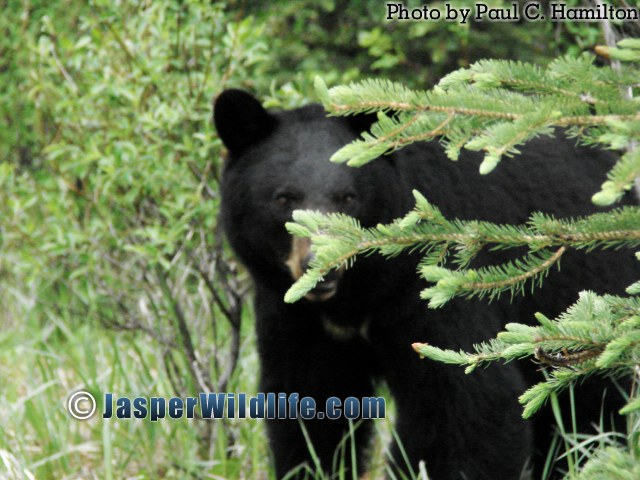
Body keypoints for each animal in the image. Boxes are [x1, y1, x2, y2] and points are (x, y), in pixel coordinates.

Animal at [212, 88, 632, 478]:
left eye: (347, 197)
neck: (357, 296)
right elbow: (308, 406)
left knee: (594, 402)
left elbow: (466, 409)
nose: (321, 266)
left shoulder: (429, 294)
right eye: (283, 198)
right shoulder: (295, 318)